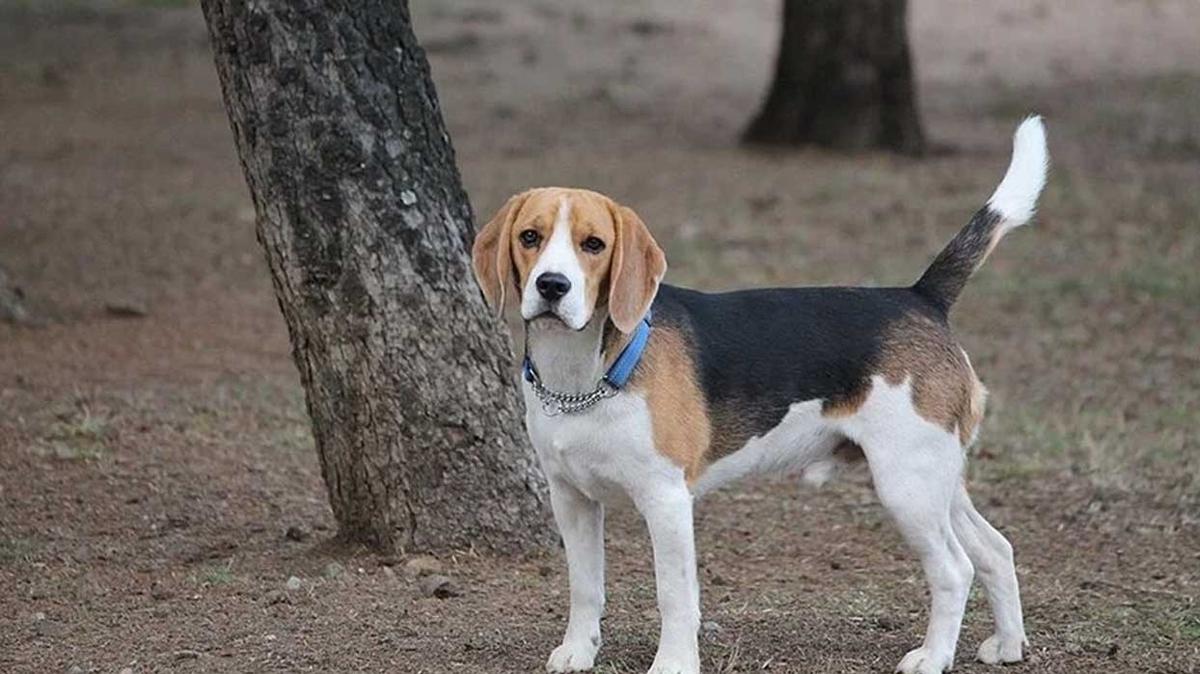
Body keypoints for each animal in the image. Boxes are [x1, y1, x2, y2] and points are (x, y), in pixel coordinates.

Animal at [470, 118, 1051, 666]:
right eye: (530, 237)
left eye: (594, 245)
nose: (552, 286)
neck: (583, 377)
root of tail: (921, 297)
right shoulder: (571, 497)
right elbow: (584, 587)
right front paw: (578, 651)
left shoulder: (666, 499)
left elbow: (674, 596)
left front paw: (673, 664)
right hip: (936, 478)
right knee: (996, 550)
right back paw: (1009, 644)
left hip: (906, 483)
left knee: (954, 568)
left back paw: (932, 658)